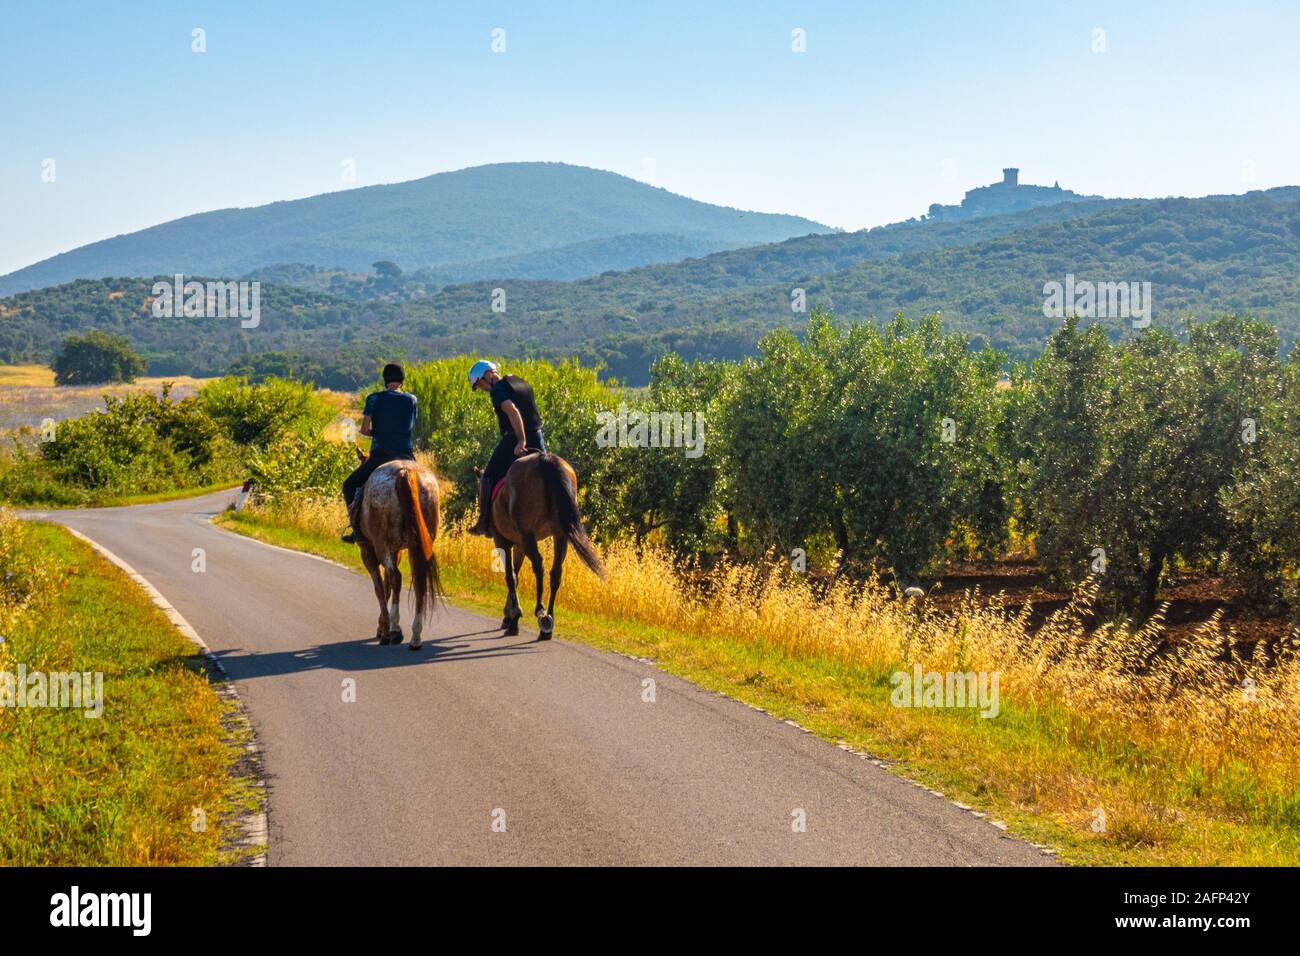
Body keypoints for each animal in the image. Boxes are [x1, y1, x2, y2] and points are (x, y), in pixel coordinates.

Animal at [356, 459, 443, 650]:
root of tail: (405, 472)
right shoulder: (396, 553)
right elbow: (387, 587)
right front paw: (382, 625)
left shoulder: (368, 553)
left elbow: (380, 588)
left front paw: (384, 628)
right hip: (417, 545)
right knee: (418, 582)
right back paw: (415, 637)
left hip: (383, 544)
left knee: (396, 578)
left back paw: (394, 631)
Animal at [488, 451, 605, 639]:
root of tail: (545, 458)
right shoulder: (519, 545)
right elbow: (515, 576)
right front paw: (510, 616)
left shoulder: (502, 541)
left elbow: (510, 577)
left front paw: (513, 617)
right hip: (559, 534)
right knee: (555, 573)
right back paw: (547, 623)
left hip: (528, 533)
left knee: (538, 565)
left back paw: (539, 610)